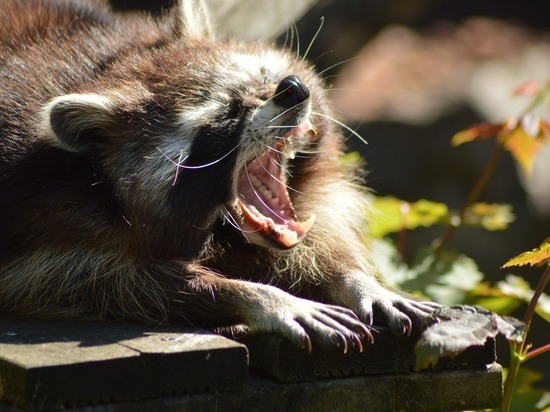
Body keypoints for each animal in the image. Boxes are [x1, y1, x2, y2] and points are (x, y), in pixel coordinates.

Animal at [0, 0, 440, 352]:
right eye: (226, 114)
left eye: (268, 80)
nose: (293, 90)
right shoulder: (45, 216)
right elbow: (101, 281)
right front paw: (258, 296)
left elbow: (322, 228)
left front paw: (354, 279)